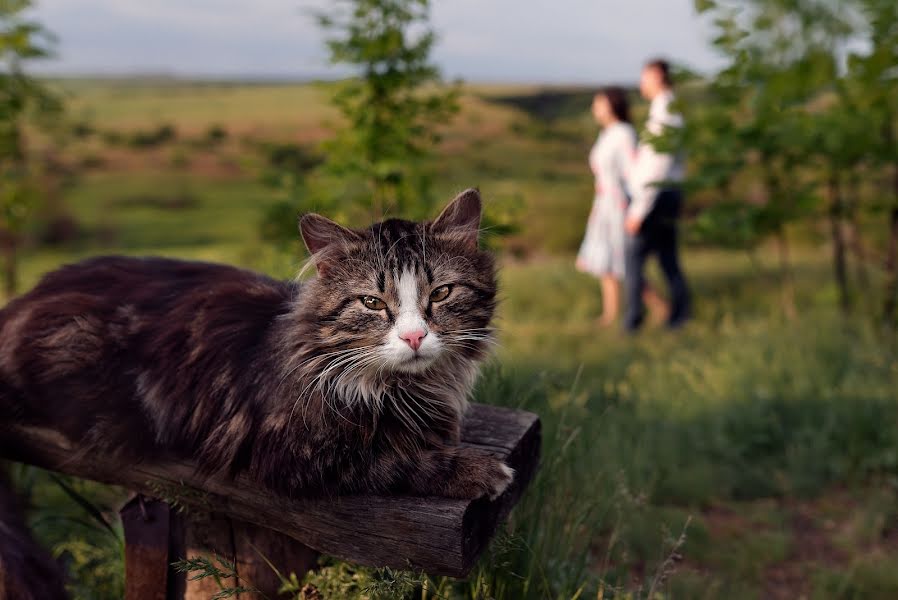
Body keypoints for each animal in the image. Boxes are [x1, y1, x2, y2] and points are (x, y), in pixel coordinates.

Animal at [0, 190, 512, 596]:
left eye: (441, 293)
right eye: (371, 303)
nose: (414, 337)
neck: (408, 388)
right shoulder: (296, 455)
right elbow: (399, 459)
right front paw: (482, 469)